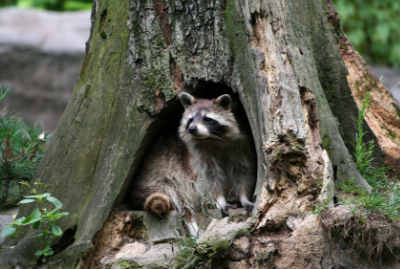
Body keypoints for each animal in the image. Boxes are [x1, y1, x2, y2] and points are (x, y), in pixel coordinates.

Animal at [130, 92, 256, 234]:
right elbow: (208, 178)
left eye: (207, 119)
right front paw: (219, 199)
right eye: (190, 119)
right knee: (179, 199)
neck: (212, 139)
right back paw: (192, 224)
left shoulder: (240, 146)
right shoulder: (196, 155)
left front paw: (243, 197)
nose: (192, 129)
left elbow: (241, 171)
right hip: (158, 183)